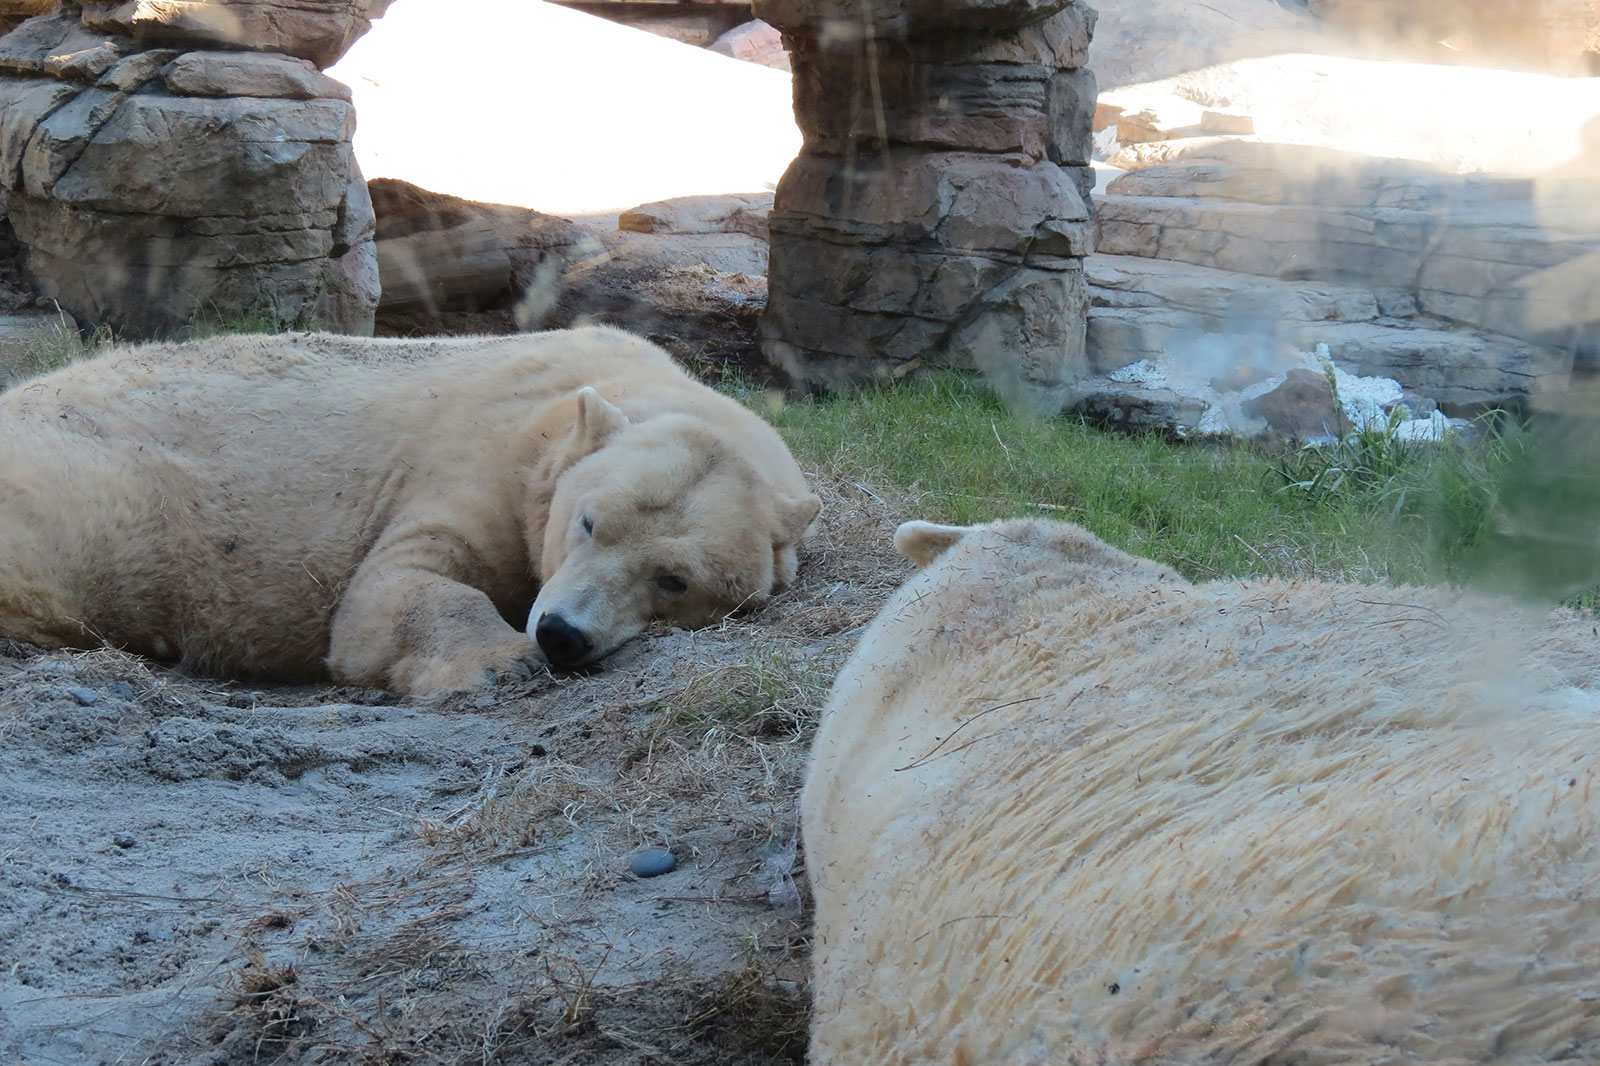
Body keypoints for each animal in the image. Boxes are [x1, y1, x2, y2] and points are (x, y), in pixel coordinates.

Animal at [0, 326, 819, 696]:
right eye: (590, 522)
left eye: (673, 580)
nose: (561, 633)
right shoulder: (481, 460)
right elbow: (396, 588)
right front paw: (497, 659)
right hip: (88, 503)